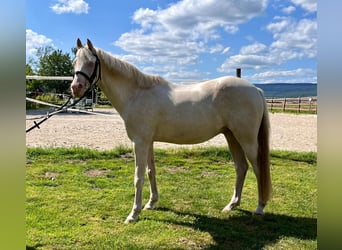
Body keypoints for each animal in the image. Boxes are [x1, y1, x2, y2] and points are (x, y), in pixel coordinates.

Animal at [71, 38, 272, 223]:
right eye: (74, 62)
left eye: (91, 62)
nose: (75, 88)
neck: (136, 94)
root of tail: (255, 89)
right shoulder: (148, 141)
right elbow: (150, 171)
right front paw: (151, 203)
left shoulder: (140, 142)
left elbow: (138, 177)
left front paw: (133, 214)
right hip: (232, 136)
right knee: (241, 167)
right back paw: (231, 205)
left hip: (246, 139)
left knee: (257, 168)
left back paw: (260, 207)